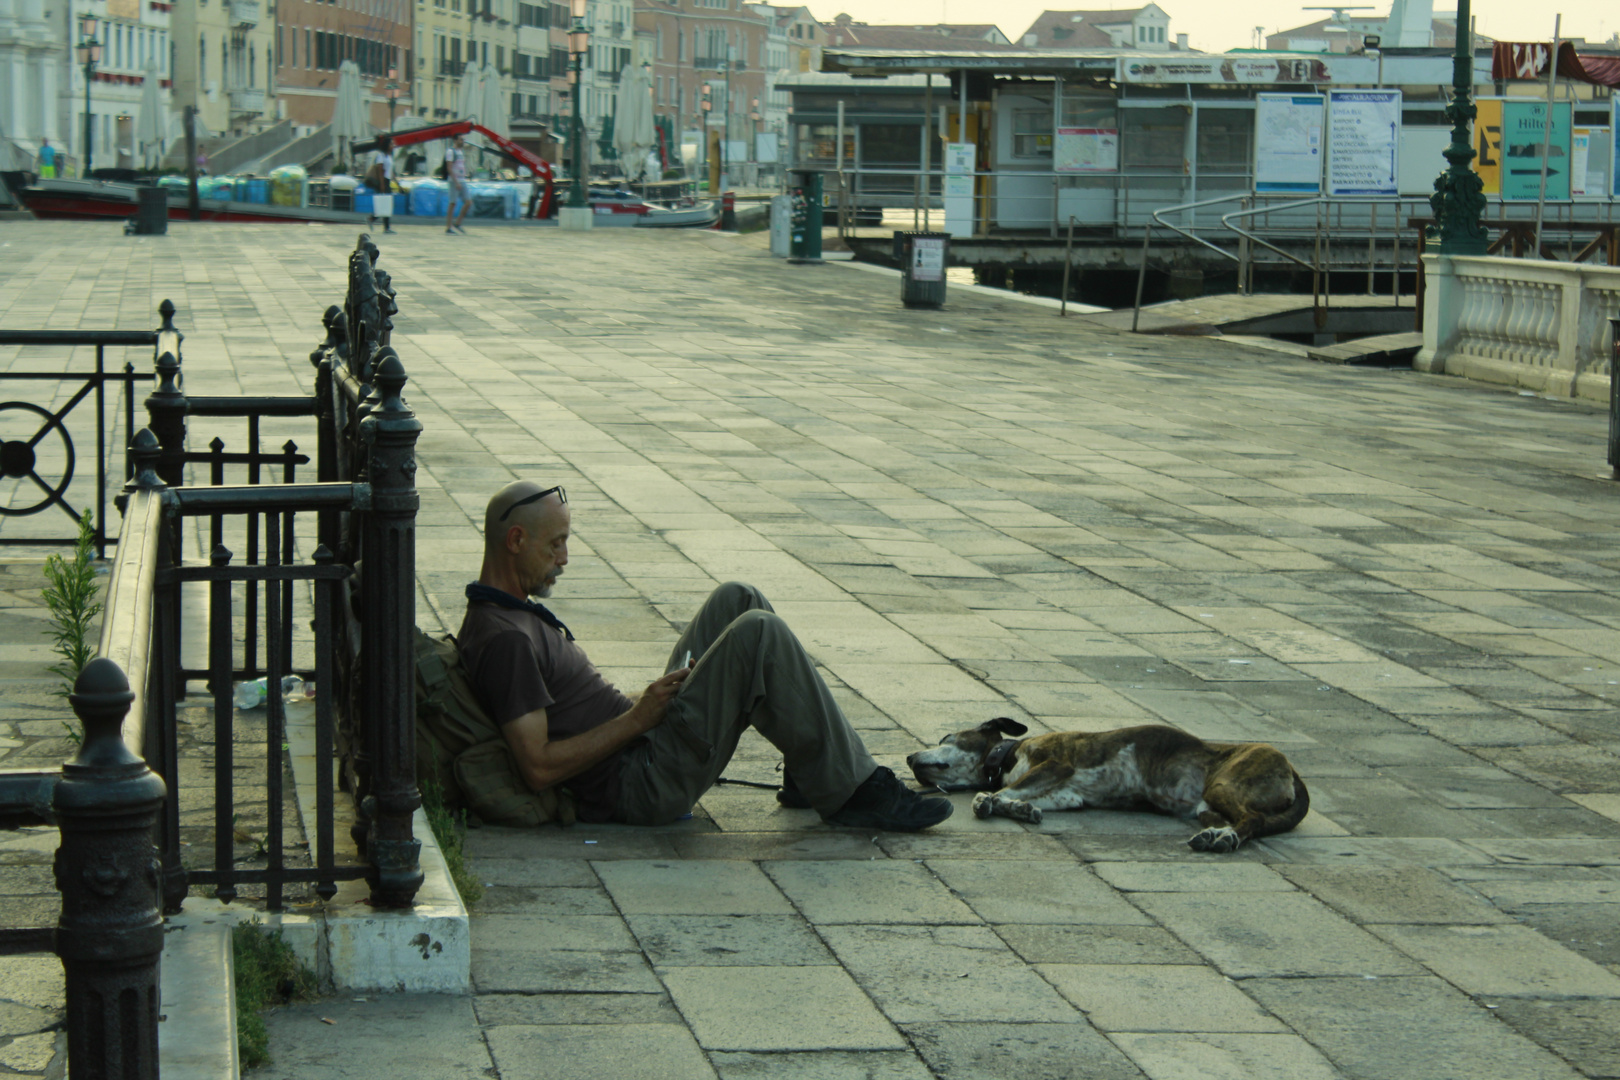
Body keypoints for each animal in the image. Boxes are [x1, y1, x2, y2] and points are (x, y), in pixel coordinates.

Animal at [907, 718, 1308, 854]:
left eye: (946, 737)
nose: (909, 758)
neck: (1007, 756)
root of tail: (1292, 768)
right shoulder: (1067, 795)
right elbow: (1017, 796)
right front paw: (1021, 808)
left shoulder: (1056, 763)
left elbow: (998, 792)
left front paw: (988, 800)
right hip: (1206, 808)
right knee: (1240, 823)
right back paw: (1216, 837)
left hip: (1224, 787)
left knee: (1253, 820)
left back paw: (1226, 839)